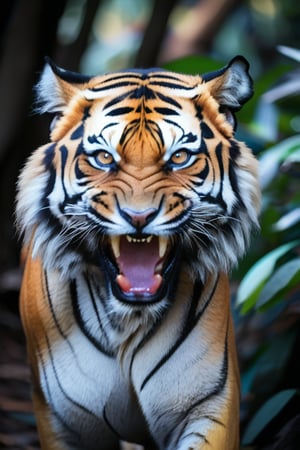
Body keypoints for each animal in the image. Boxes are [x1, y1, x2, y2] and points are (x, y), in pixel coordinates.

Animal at [16, 56, 260, 450]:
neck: (127, 322)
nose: (139, 216)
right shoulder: (62, 421)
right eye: (104, 157)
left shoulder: (206, 406)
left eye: (179, 157)